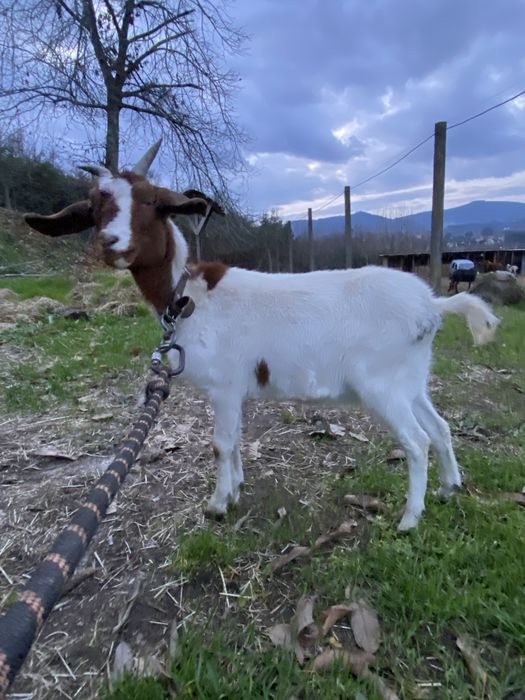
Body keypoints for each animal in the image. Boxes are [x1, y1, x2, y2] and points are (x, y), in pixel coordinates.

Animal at [24, 144, 499, 531]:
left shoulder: (224, 385)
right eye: (93, 206)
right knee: (440, 429)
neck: (189, 296)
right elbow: (234, 442)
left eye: (153, 201)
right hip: (411, 379)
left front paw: (217, 504)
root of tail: (431, 306)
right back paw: (449, 489)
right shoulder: (235, 390)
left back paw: (409, 519)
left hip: (382, 384)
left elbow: (220, 445)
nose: (111, 242)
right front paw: (235, 490)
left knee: (417, 442)